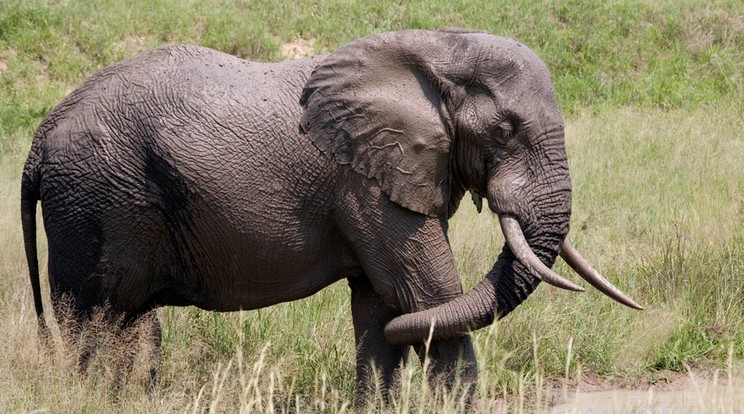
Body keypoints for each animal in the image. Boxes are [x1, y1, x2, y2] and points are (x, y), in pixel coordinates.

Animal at [21, 29, 640, 398]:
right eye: (507, 130)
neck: (435, 47)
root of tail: (40, 139)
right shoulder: (364, 183)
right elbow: (428, 296)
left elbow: (378, 306)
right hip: (97, 202)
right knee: (92, 321)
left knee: (131, 326)